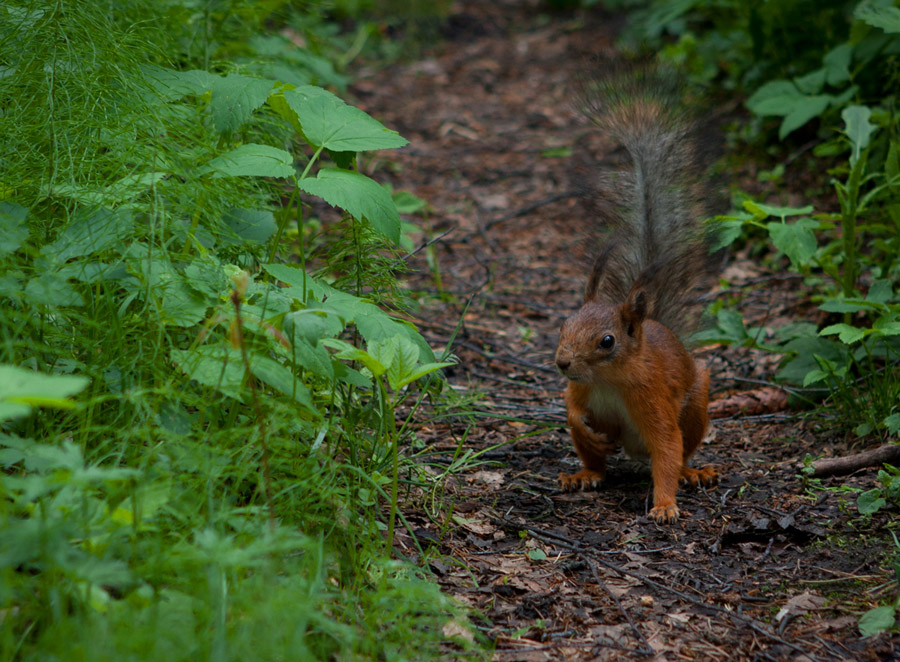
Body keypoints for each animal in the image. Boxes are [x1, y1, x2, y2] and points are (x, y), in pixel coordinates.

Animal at [556, 67, 716, 524]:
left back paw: (693, 472)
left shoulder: (654, 397)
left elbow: (666, 448)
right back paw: (584, 473)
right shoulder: (579, 390)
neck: (608, 380)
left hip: (696, 404)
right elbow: (572, 409)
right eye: (564, 324)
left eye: (607, 341)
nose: (562, 363)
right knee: (595, 458)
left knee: (682, 451)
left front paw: (664, 504)